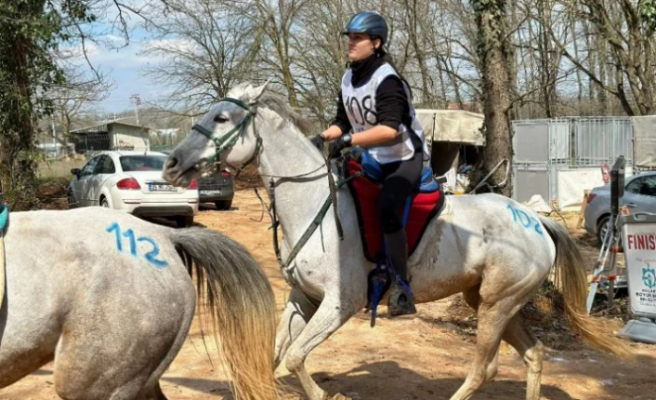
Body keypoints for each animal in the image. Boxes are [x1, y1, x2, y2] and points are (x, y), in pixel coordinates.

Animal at [163, 83, 632, 400]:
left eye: (222, 118)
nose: (171, 164)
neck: (315, 203)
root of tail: (535, 221)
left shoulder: (339, 304)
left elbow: (295, 357)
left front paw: (326, 393)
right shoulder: (303, 299)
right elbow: (278, 353)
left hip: (497, 306)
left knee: (484, 369)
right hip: (494, 302)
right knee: (533, 355)